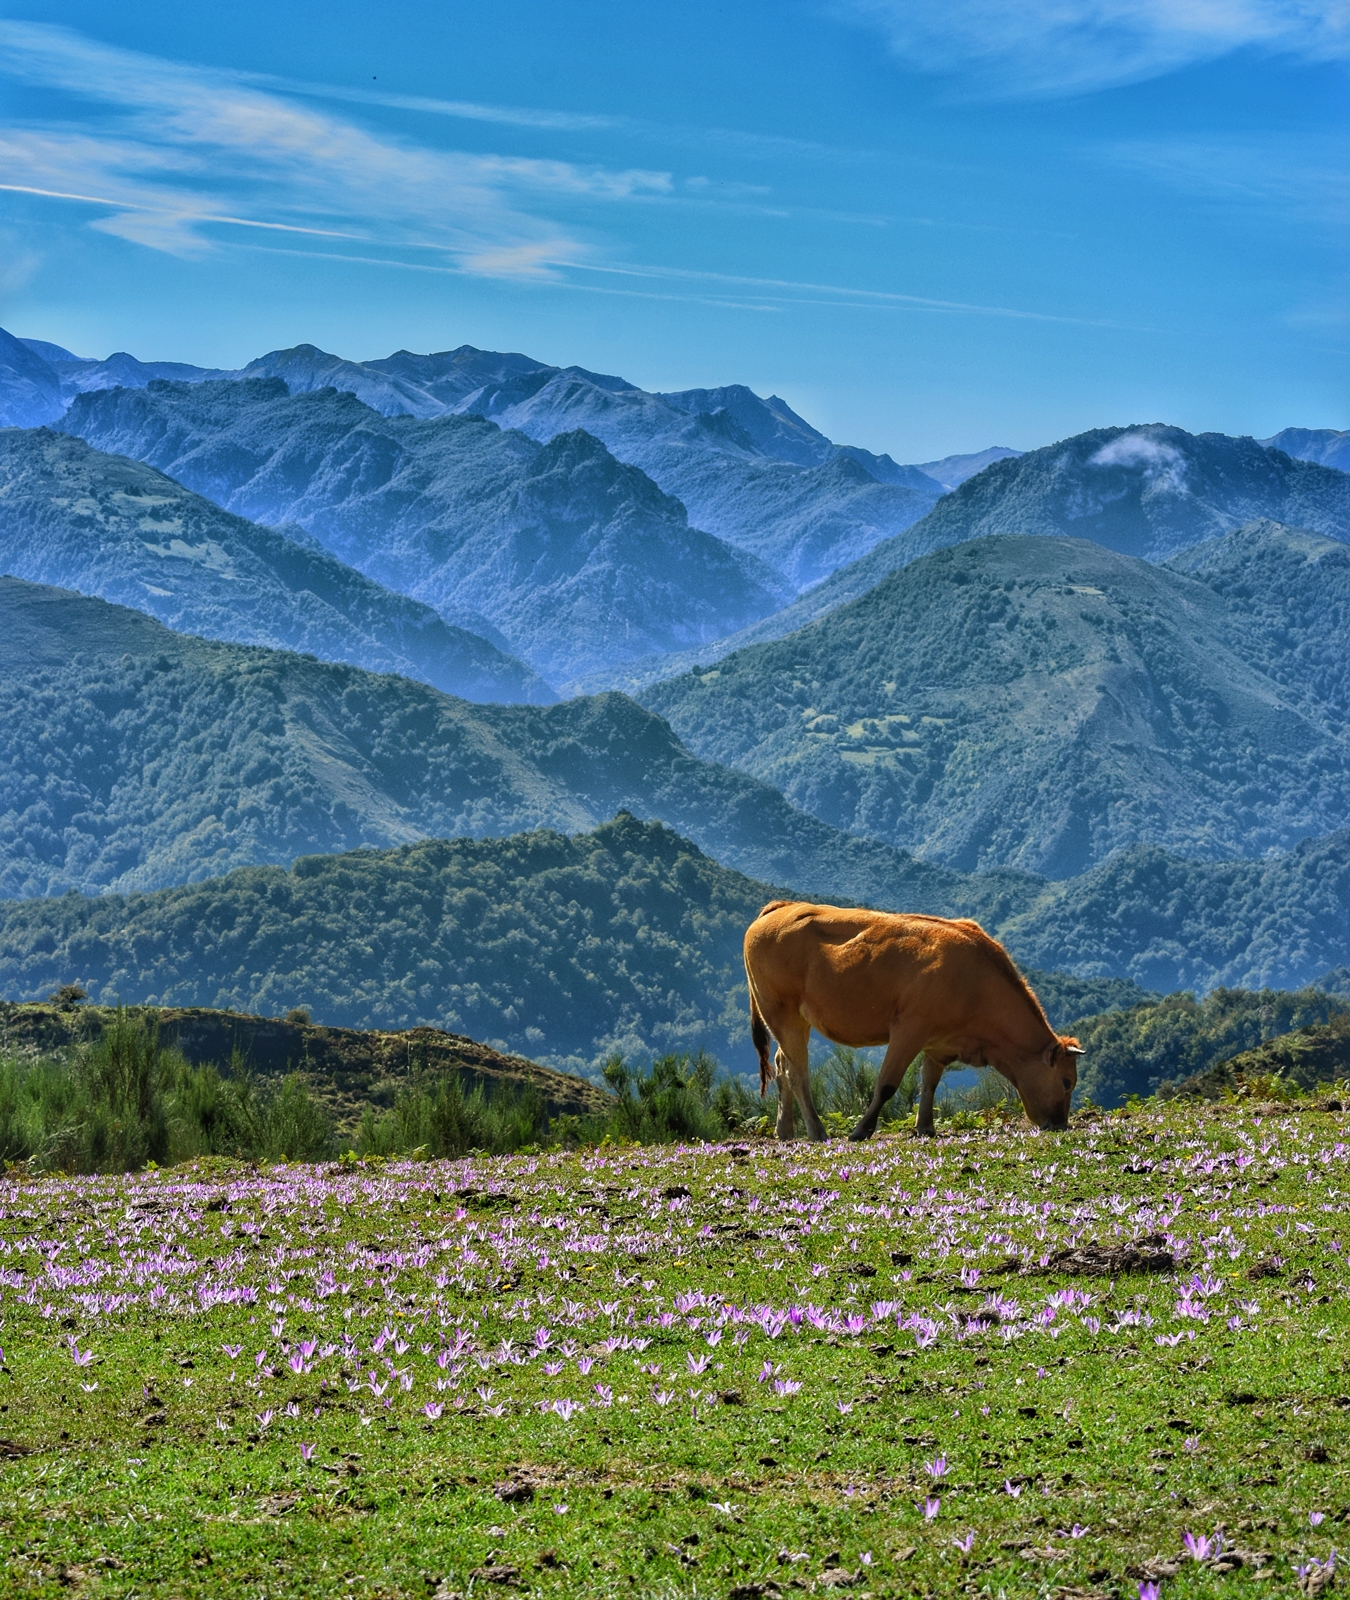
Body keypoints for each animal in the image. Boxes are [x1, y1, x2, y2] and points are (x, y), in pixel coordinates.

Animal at [742, 902, 1081, 1139]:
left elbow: (929, 1082)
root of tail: (782, 906)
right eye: (1067, 1082)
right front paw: (861, 1130)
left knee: (782, 1065)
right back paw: (817, 1131)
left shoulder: (940, 1042)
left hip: (793, 1019)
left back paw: (785, 1131)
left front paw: (925, 1127)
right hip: (780, 1011)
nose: (1060, 1124)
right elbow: (887, 1084)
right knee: (797, 1072)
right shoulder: (909, 1029)